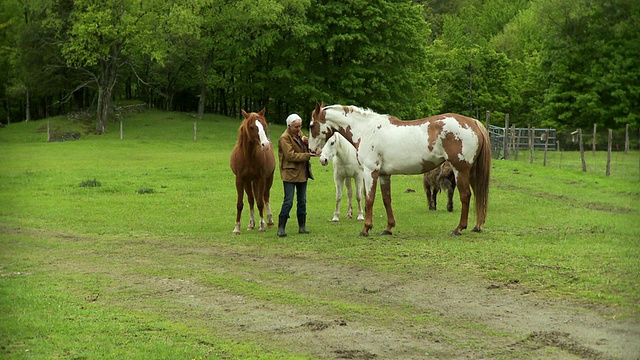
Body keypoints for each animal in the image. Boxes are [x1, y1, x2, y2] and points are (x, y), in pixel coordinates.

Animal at [310, 102, 490, 236]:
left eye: (312, 125)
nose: (313, 151)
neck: (367, 130)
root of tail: (473, 122)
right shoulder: (384, 175)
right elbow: (386, 199)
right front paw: (388, 228)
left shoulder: (370, 172)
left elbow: (369, 199)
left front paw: (366, 228)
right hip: (471, 172)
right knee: (477, 196)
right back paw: (476, 226)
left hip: (460, 170)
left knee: (466, 196)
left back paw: (459, 228)